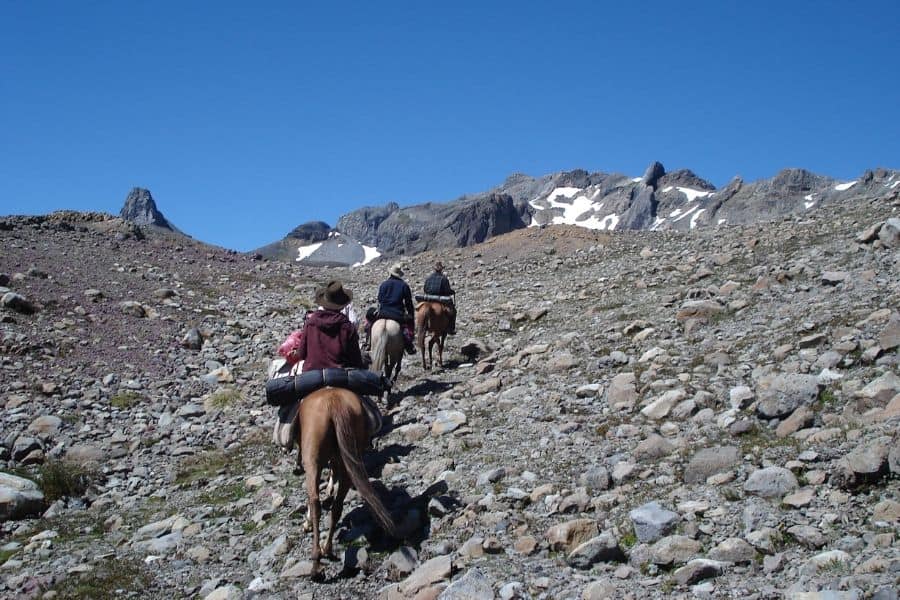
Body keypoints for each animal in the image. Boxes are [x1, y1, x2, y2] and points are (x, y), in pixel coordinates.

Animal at [298, 386, 398, 580]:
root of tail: (334, 404)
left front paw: (306, 523)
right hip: (349, 462)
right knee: (337, 507)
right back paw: (326, 549)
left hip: (312, 459)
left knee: (315, 501)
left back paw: (316, 563)